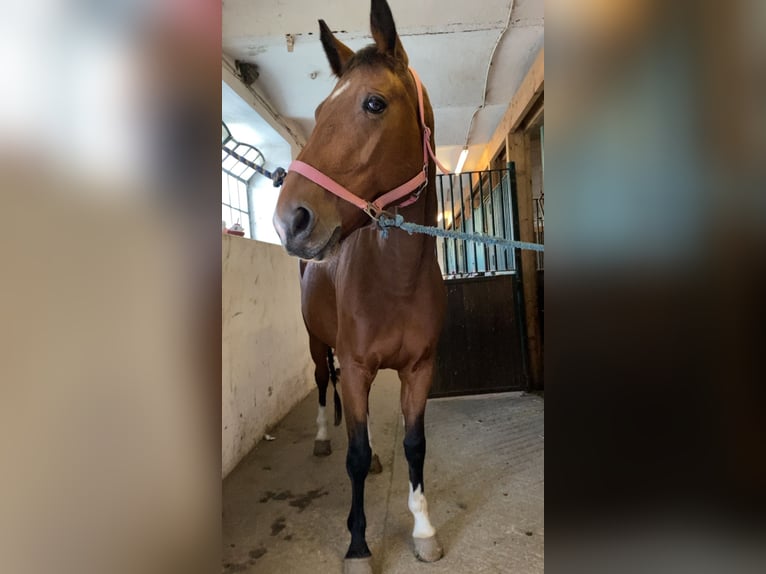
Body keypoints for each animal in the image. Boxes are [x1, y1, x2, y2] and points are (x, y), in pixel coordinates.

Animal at [272, 0, 448, 572]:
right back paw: (322, 437)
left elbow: (414, 445)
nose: (290, 221)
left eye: (374, 103)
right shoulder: (352, 367)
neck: (395, 281)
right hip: (317, 345)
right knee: (321, 386)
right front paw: (358, 545)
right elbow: (354, 453)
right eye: (319, 110)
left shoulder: (419, 368)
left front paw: (423, 529)